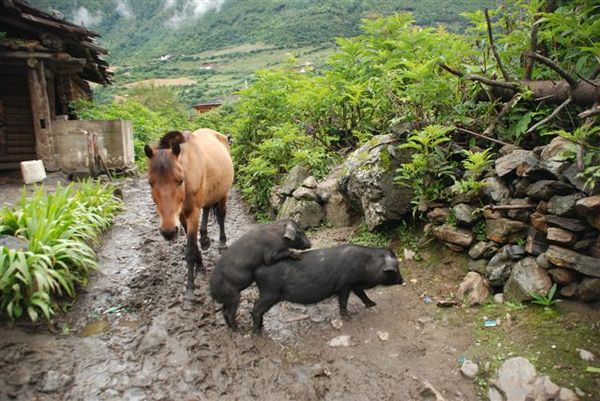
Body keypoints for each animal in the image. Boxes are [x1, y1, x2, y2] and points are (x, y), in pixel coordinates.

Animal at [144, 127, 233, 296]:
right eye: (150, 183)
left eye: (180, 180)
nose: (168, 231)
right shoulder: (180, 216)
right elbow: (192, 243)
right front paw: (200, 266)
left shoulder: (192, 213)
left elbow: (190, 248)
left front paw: (190, 288)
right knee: (207, 208)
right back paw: (204, 239)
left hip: (223, 193)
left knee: (221, 214)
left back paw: (222, 243)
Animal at [253, 244, 404, 332]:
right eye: (395, 271)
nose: (403, 280)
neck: (366, 265)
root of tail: (257, 271)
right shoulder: (344, 285)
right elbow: (343, 301)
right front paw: (348, 317)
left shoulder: (354, 284)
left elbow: (362, 294)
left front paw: (373, 304)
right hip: (270, 293)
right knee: (256, 308)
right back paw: (257, 332)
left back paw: (261, 326)